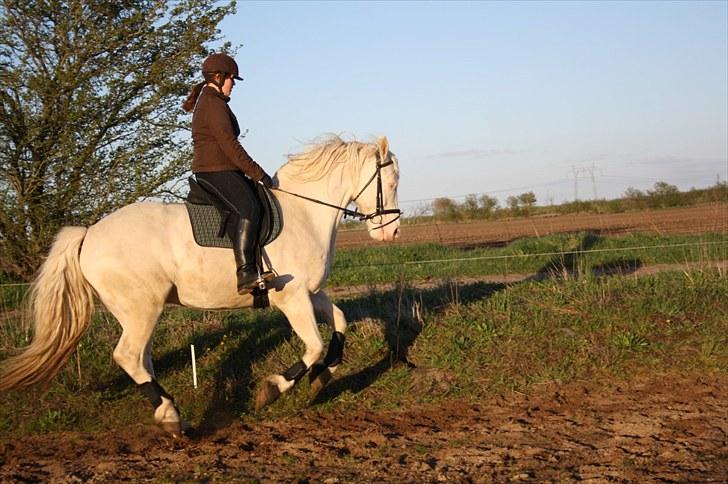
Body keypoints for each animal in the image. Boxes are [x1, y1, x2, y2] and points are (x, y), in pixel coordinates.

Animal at [0, 135, 398, 434]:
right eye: (392, 183)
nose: (391, 233)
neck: (304, 213)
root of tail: (89, 234)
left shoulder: (311, 293)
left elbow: (340, 322)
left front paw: (324, 375)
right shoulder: (293, 298)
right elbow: (313, 346)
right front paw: (272, 389)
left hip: (137, 313)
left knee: (142, 360)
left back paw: (171, 414)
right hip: (141, 308)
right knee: (128, 356)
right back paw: (171, 417)